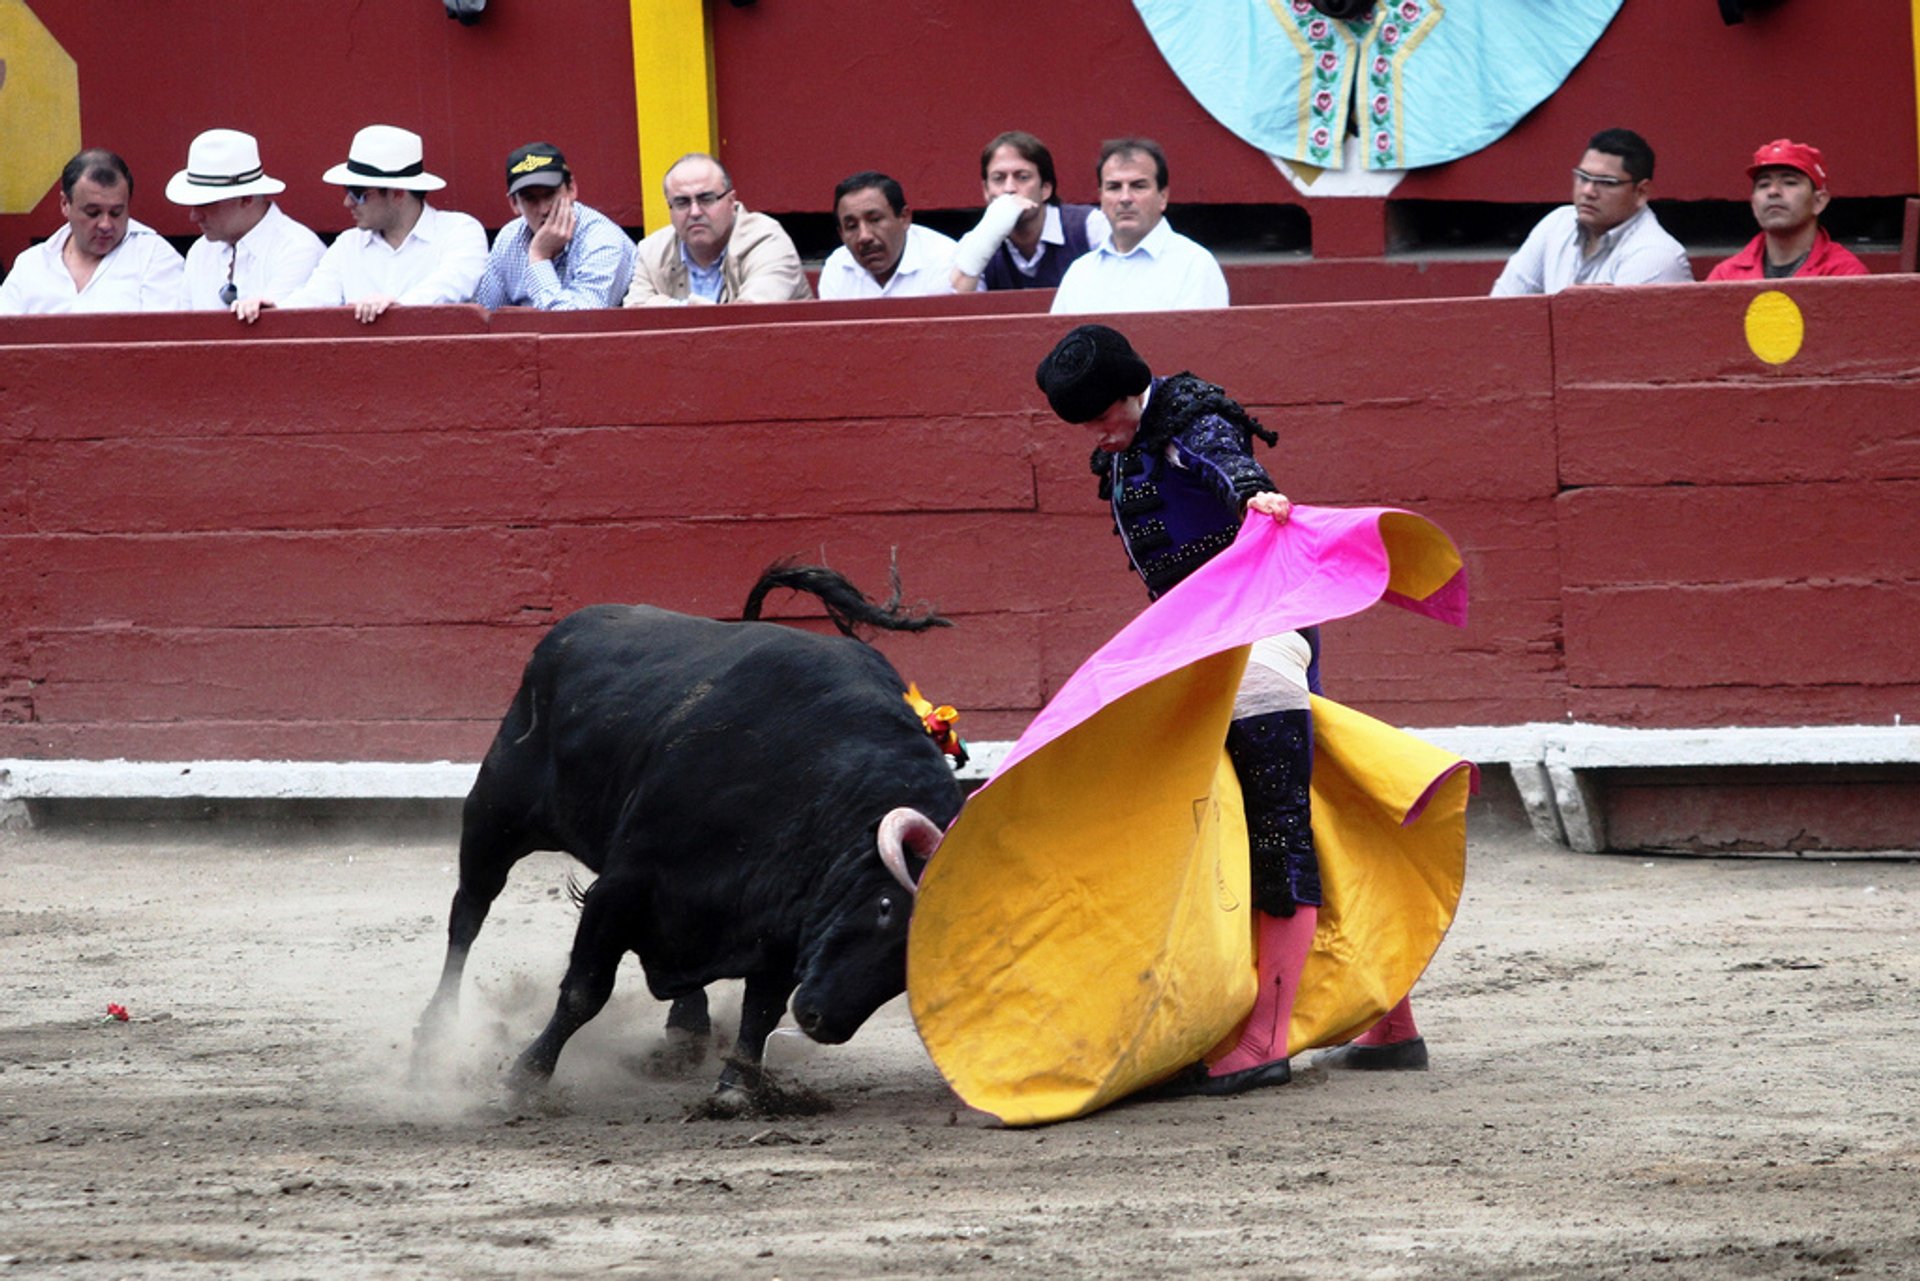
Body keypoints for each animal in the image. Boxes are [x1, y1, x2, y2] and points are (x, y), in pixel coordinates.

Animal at [414, 564, 967, 1098]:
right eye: (885, 906)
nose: (821, 1022)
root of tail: (570, 628)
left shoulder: (782, 921)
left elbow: (760, 1009)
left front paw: (735, 1088)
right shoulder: (623, 887)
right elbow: (584, 992)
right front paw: (525, 1078)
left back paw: (687, 1027)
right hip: (494, 815)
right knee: (469, 911)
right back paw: (435, 1031)